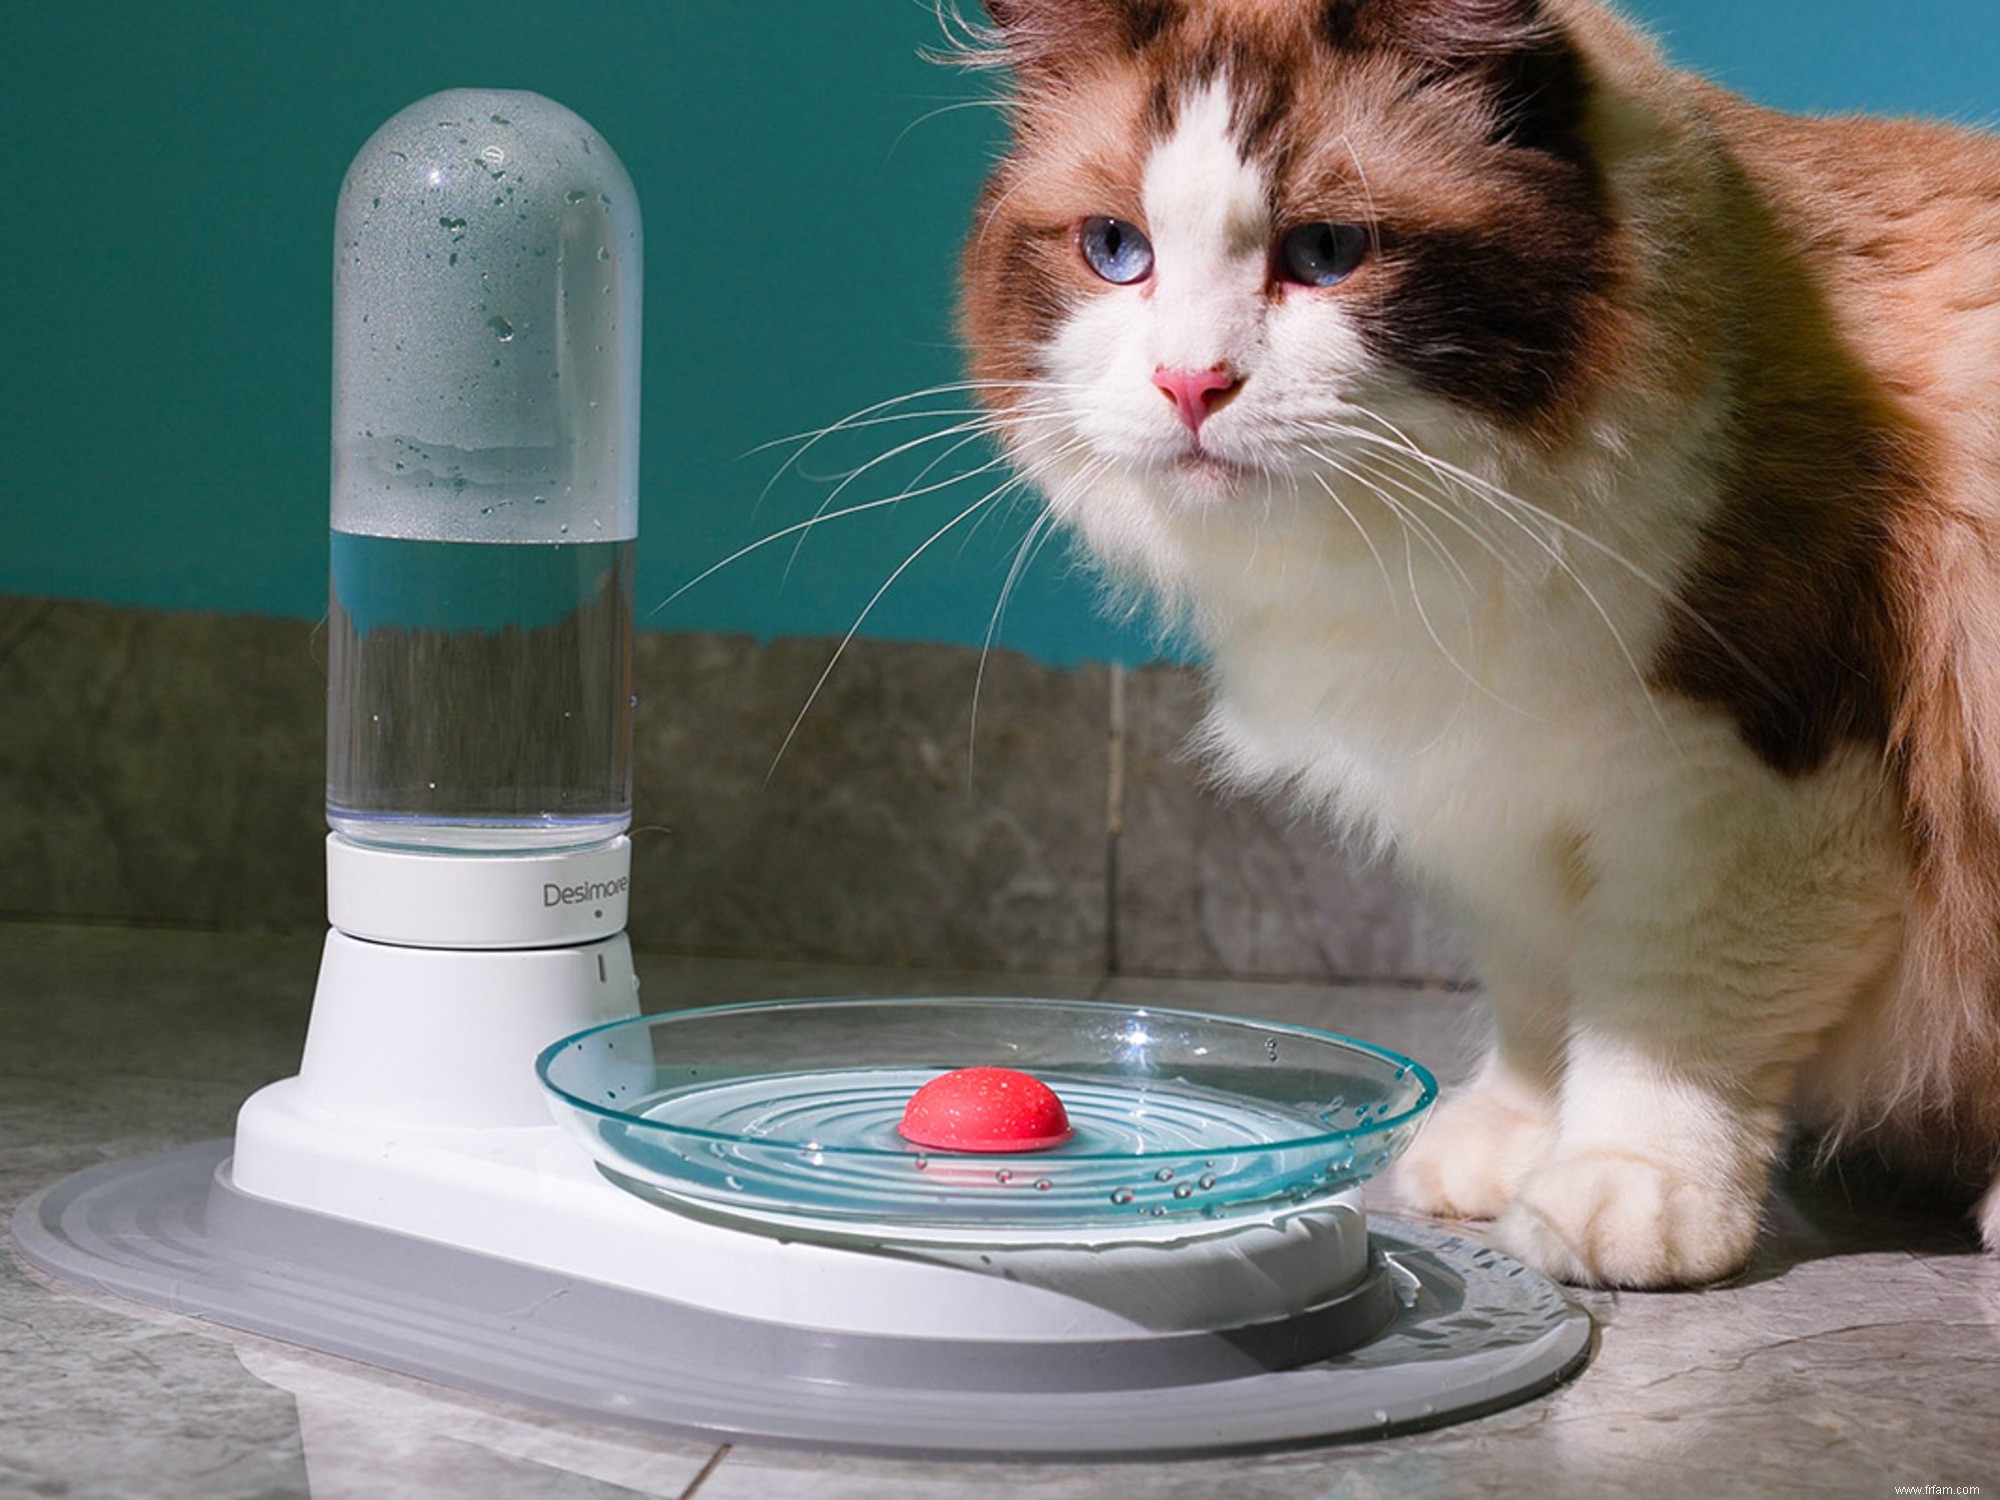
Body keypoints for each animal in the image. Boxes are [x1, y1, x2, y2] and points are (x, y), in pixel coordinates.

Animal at [948, 0, 2000, 1296]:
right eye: (1113, 250)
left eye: (1326, 253)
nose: (1188, 384)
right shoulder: (1497, 798)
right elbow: (1541, 1002)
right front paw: (1504, 1149)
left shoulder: (1757, 791)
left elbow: (1665, 1017)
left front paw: (1617, 1191)